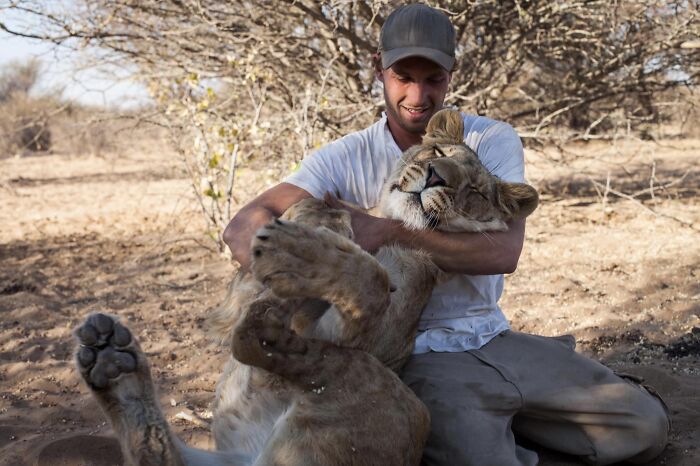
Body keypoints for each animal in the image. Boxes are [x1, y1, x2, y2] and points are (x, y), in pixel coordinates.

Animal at [74, 110, 540, 466]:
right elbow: (316, 220)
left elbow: (372, 281)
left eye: (475, 191)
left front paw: (300, 250)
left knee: (264, 345)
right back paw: (112, 363)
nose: (435, 177)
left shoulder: (365, 337)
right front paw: (318, 222)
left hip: (402, 400)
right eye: (439, 153)